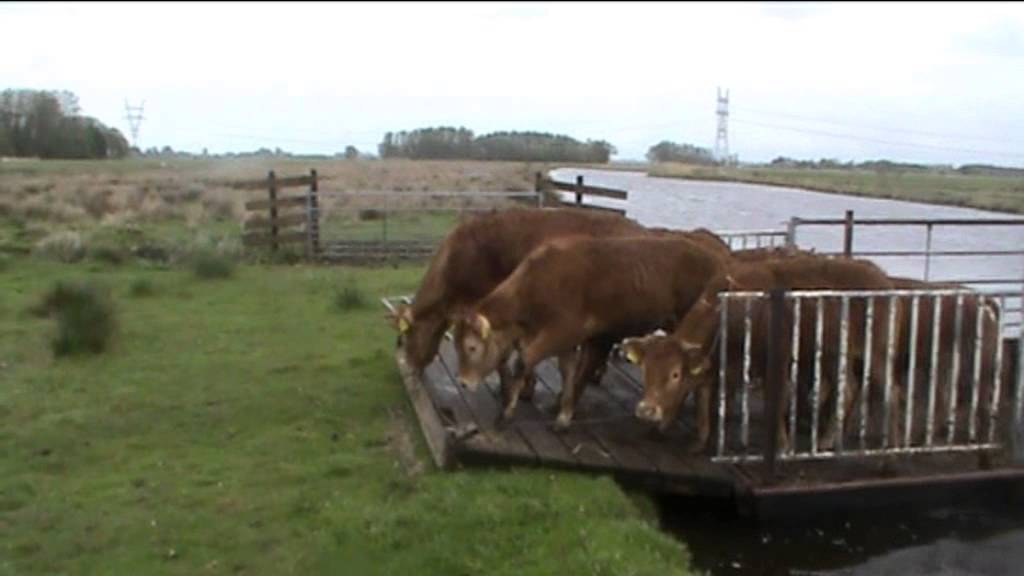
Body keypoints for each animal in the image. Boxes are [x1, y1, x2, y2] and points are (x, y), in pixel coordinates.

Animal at [452, 235, 729, 429]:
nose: (463, 382)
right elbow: (568, 370)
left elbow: (524, 361)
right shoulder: (565, 340)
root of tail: (715, 260)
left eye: (471, 347)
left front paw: (507, 413)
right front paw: (563, 412)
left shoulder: (562, 331)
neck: (540, 282)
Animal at [622, 255, 904, 454]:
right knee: (848, 388)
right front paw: (700, 441)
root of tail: (882, 278)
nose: (646, 410)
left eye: (675, 374)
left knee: (891, 392)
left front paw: (783, 444)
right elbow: (703, 396)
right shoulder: (720, 363)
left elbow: (774, 400)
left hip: (877, 352)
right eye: (645, 370)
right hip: (834, 354)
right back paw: (827, 439)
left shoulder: (774, 360)